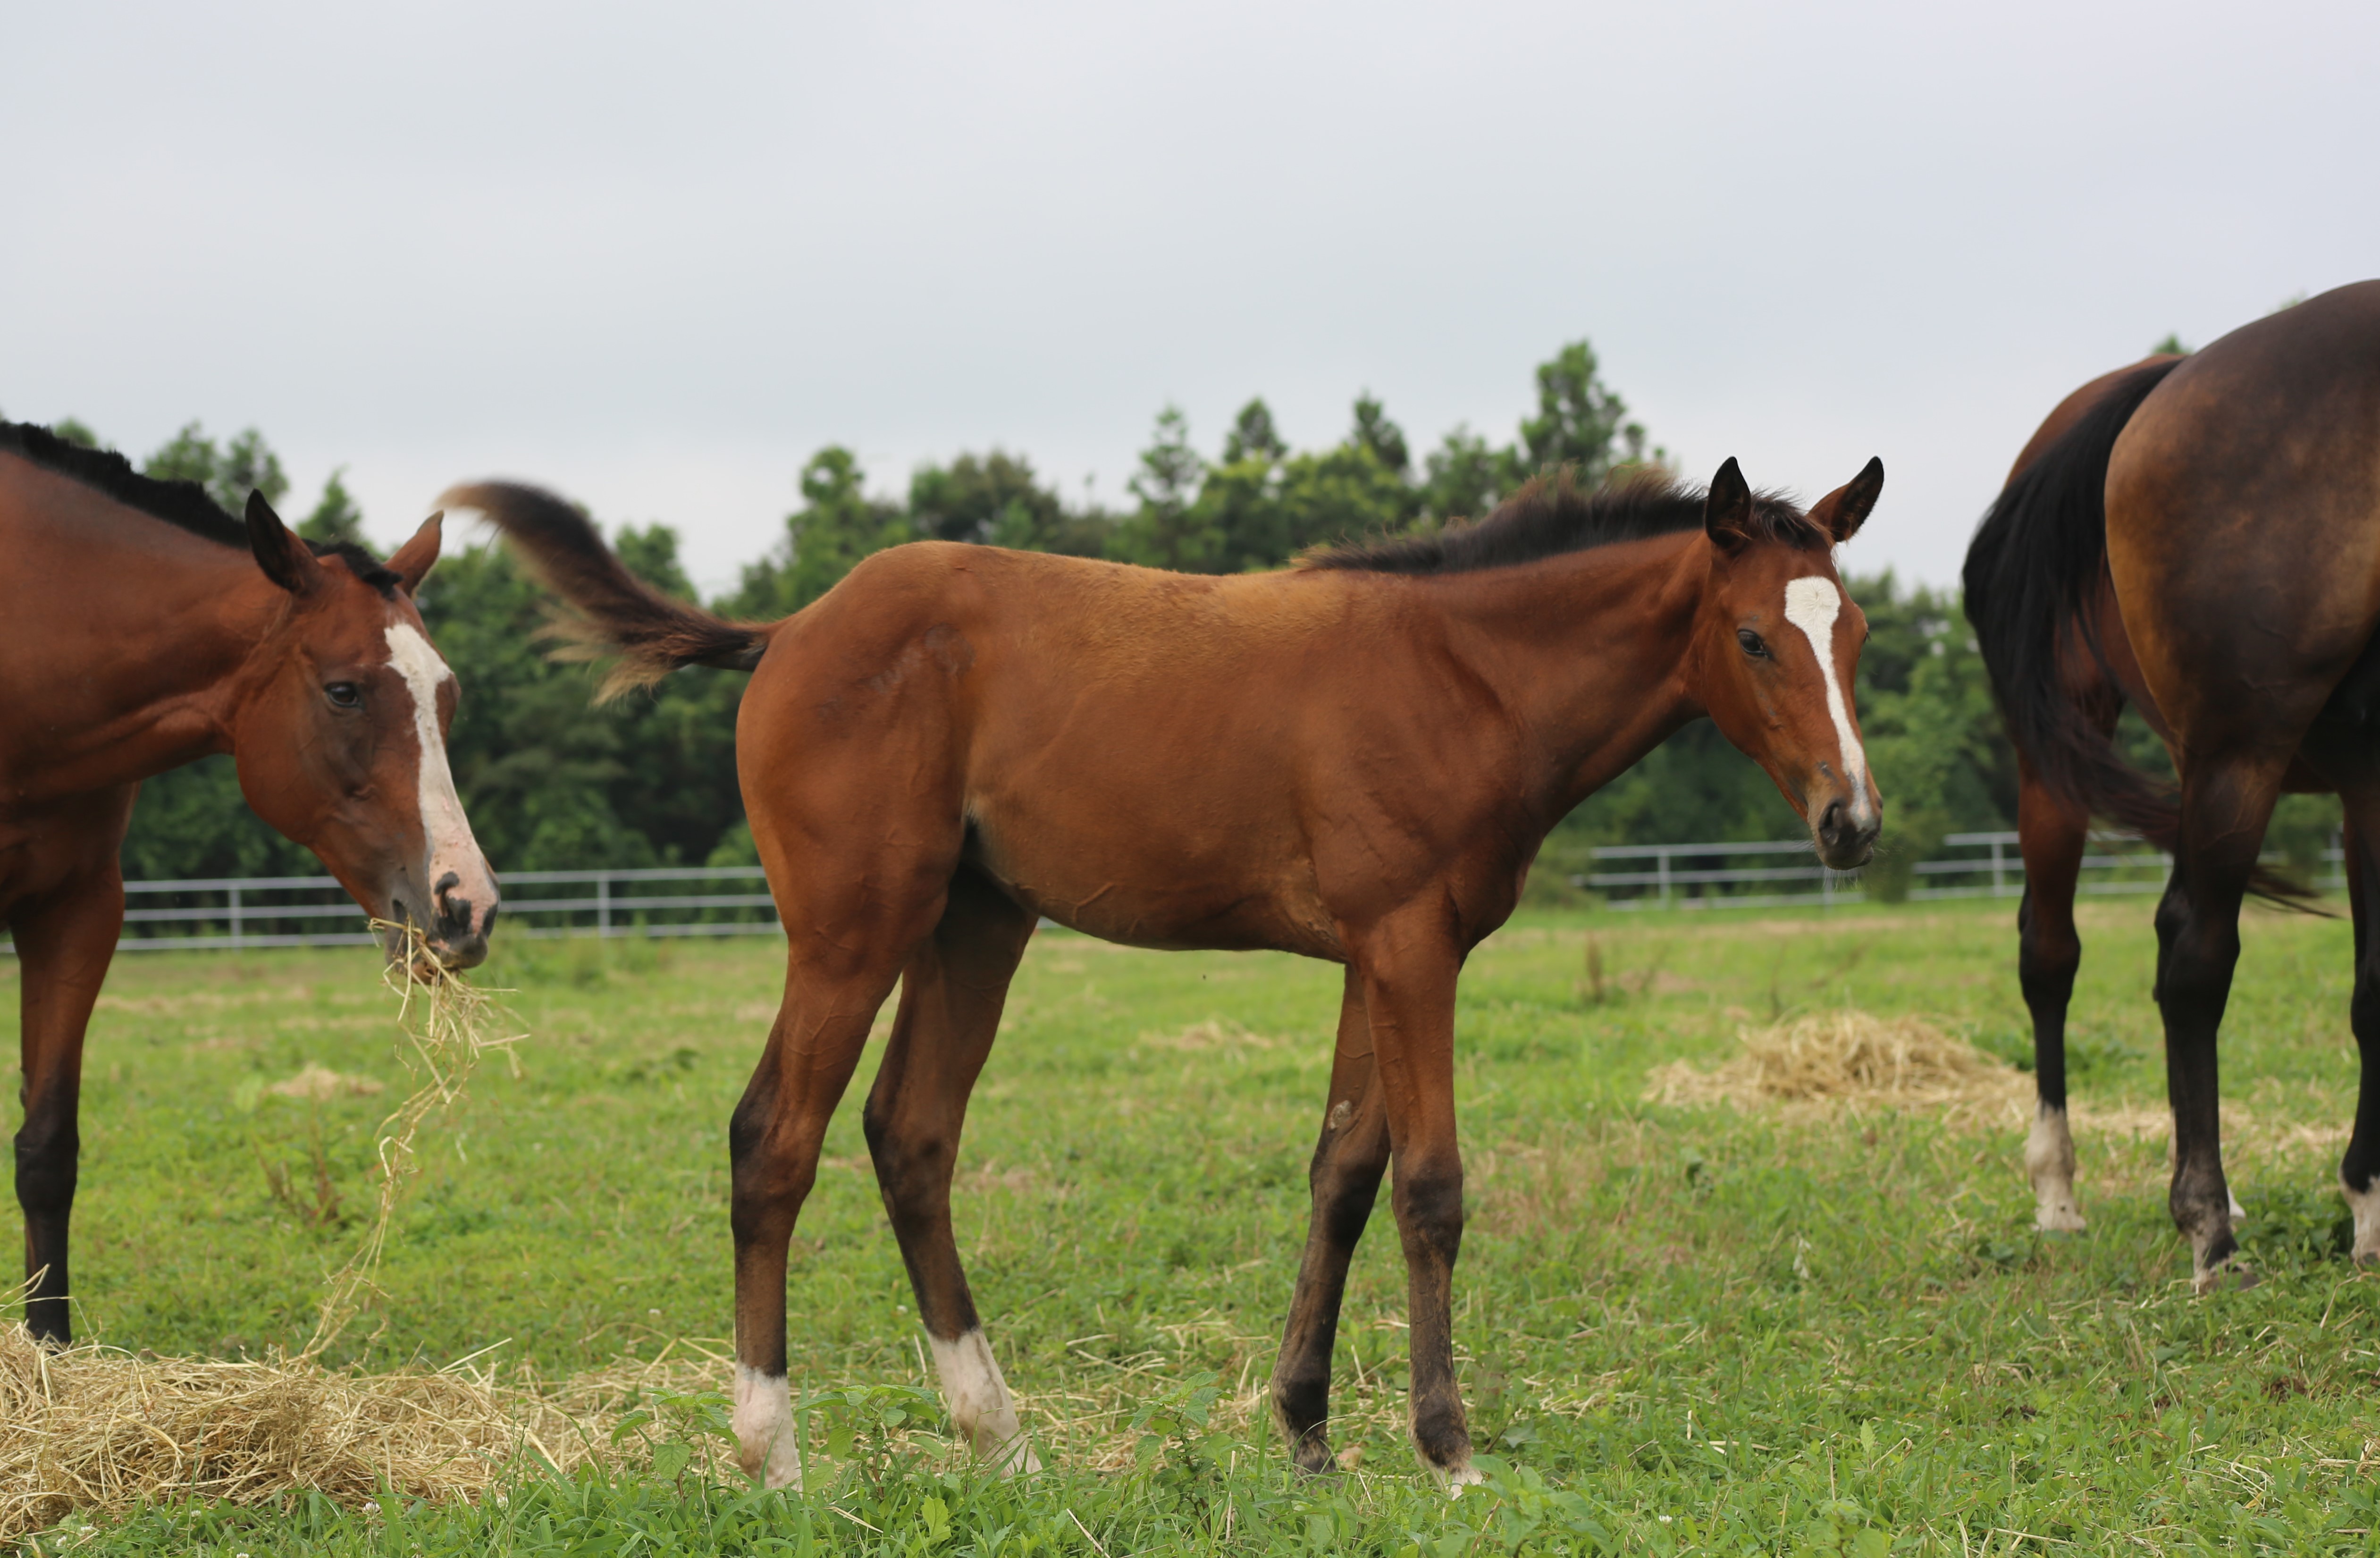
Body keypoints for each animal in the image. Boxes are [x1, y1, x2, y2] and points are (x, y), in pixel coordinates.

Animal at [3, 421, 497, 1351]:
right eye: (343, 691)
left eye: (446, 696)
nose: (466, 906)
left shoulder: (76, 911)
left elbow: (47, 1149)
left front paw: (48, 1352)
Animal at [454, 452, 1885, 1484]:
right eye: (1753, 638)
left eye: (1858, 635)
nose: (1852, 821)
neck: (1463, 675)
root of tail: (791, 626)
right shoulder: (1412, 947)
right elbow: (1429, 1187)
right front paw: (1449, 1453)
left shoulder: (1376, 951)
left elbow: (1341, 1174)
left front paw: (1307, 1436)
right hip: (853, 930)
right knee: (774, 1137)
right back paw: (775, 1458)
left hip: (975, 920)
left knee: (909, 1135)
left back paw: (1003, 1441)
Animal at [1961, 280, 2380, 1294]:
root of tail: (2158, 386)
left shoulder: (2367, 788)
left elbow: (2373, 986)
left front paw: (2368, 1205)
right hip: (2146, 756)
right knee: (2091, 953)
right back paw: (2120, 1208)